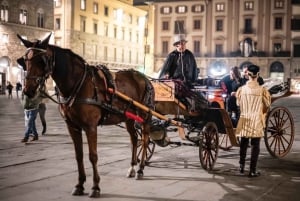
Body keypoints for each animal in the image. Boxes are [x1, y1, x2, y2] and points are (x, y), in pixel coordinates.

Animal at [17, 33, 155, 197]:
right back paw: (133, 167)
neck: (77, 83)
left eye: (41, 61)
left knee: (145, 140)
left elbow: (93, 156)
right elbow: (79, 155)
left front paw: (95, 187)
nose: (28, 91)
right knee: (134, 139)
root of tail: (145, 78)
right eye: (25, 61)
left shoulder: (90, 127)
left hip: (145, 116)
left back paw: (140, 169)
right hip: (129, 118)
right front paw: (80, 184)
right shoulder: (72, 127)